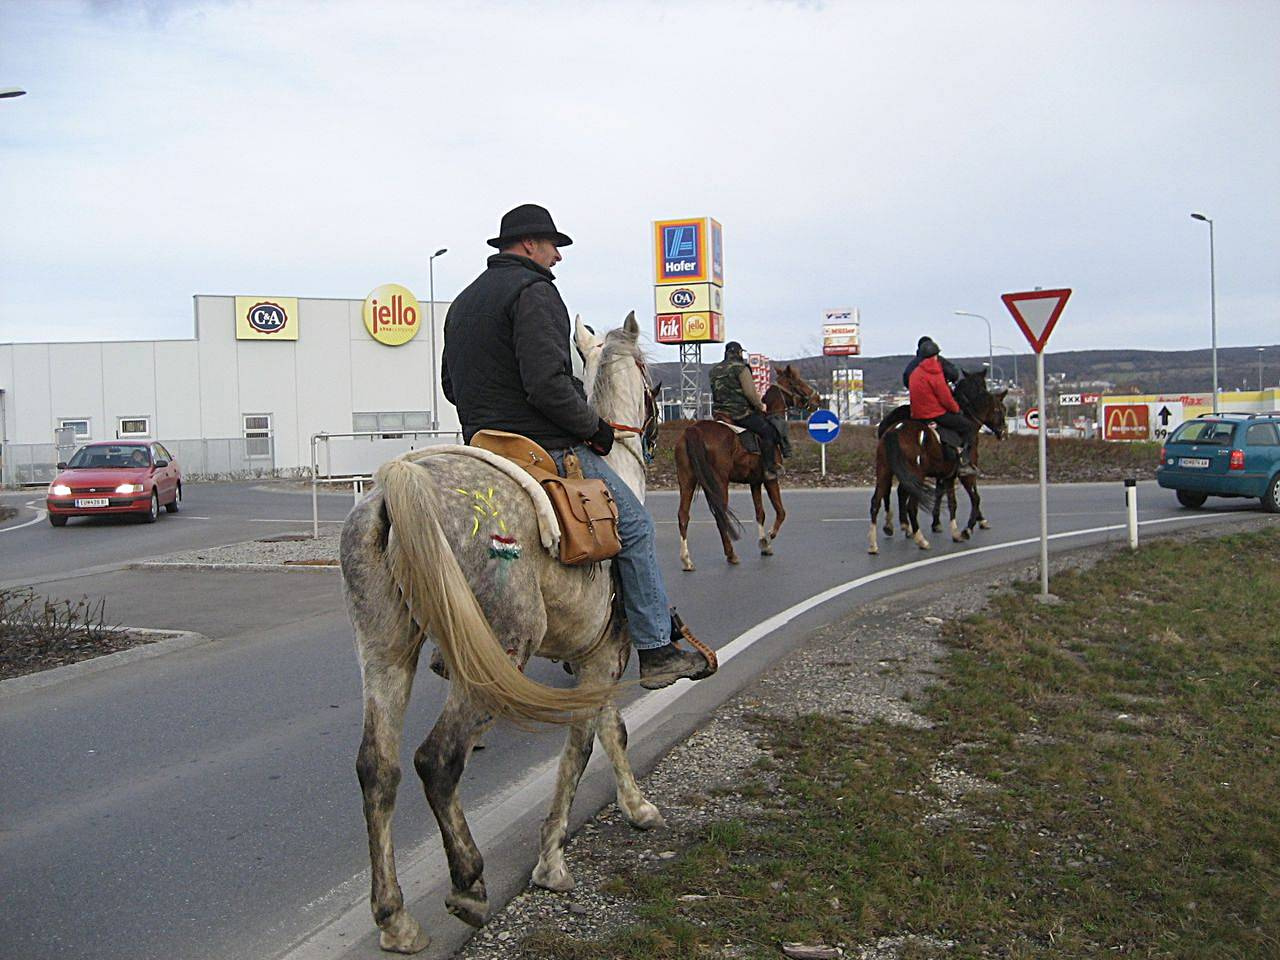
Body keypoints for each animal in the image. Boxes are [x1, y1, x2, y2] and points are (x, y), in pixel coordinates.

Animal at [340, 313, 660, 957]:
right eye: (650, 375)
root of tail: (398, 483)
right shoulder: (604, 658)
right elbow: (588, 742)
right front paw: (553, 860)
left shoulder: (592, 662)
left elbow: (608, 732)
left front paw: (632, 808)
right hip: (500, 655)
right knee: (437, 760)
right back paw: (467, 885)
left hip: (385, 651)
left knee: (378, 768)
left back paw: (395, 918)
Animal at [680, 363, 819, 570]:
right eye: (797, 382)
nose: (818, 398)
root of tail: (693, 429)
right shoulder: (771, 479)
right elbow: (781, 511)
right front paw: (768, 537)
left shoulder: (755, 482)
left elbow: (760, 513)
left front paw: (764, 544)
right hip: (719, 482)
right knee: (720, 515)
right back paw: (731, 554)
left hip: (687, 481)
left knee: (683, 516)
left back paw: (687, 560)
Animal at [870, 376, 1008, 555]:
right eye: (1000, 409)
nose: (1003, 432)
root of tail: (894, 430)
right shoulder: (965, 475)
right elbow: (974, 498)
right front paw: (967, 529)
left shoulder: (947, 476)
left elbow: (951, 502)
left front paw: (954, 532)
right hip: (915, 476)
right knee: (911, 506)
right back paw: (920, 539)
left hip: (886, 471)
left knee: (877, 501)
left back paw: (877, 541)